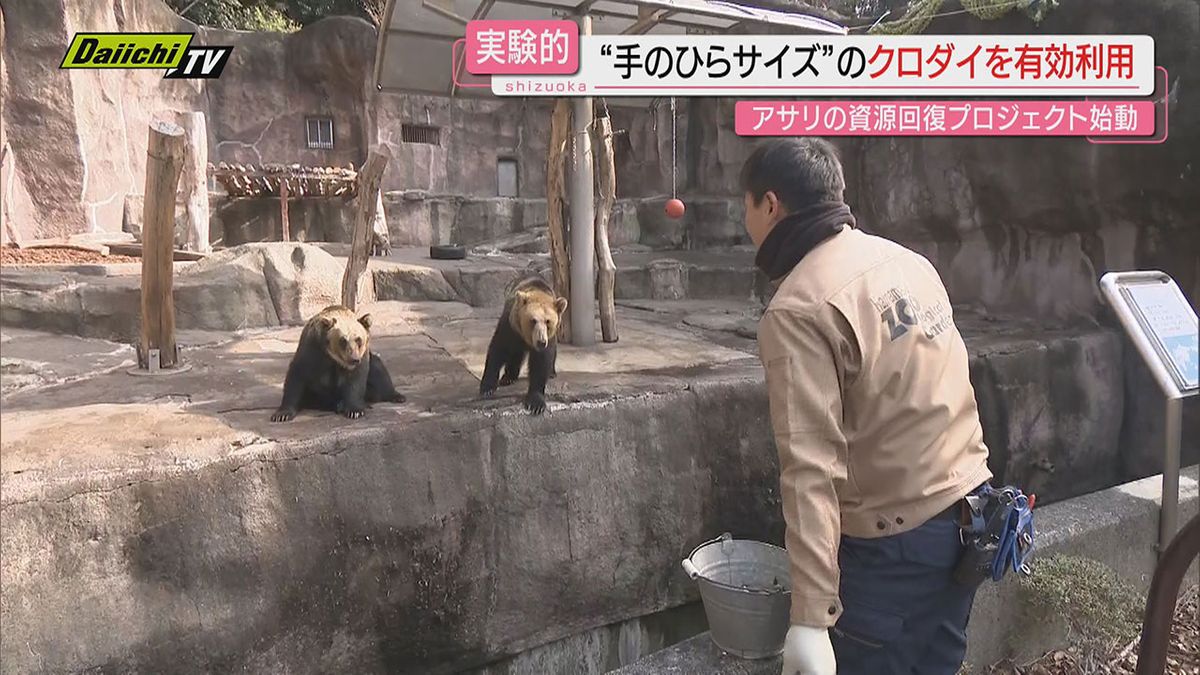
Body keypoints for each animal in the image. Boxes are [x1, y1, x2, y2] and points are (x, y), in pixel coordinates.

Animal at [270, 305, 405, 420]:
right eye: (343, 340)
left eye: (358, 339)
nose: (353, 359)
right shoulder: (312, 349)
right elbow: (297, 375)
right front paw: (282, 414)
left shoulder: (362, 356)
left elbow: (356, 378)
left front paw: (355, 410)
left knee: (378, 370)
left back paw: (396, 396)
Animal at [480, 270, 568, 413]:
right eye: (533, 320)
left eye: (548, 321)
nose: (541, 341)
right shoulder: (510, 326)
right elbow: (498, 350)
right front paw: (487, 388)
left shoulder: (548, 338)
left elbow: (541, 362)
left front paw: (536, 403)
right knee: (515, 354)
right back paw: (508, 377)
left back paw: (551, 373)